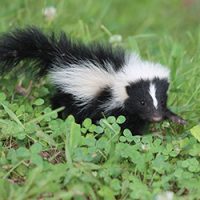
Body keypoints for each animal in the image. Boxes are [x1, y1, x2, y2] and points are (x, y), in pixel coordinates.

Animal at [0, 27, 186, 134]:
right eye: (141, 102)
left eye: (162, 101)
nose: (156, 117)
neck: (118, 73)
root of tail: (58, 54)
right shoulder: (105, 102)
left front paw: (176, 118)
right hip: (69, 96)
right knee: (61, 104)